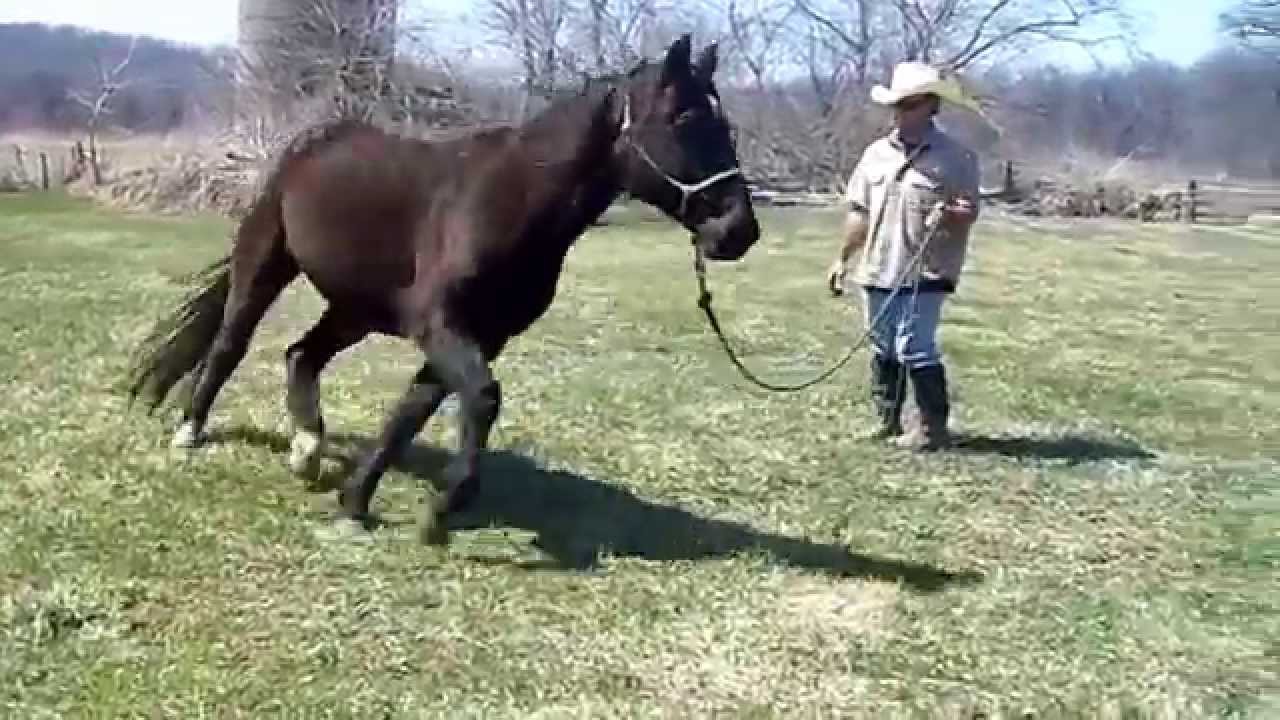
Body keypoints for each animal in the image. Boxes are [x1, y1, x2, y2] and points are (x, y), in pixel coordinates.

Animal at [125, 34, 761, 545]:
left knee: (301, 353)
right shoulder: (442, 325)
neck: (511, 201)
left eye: (726, 125)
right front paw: (442, 509)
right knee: (232, 341)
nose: (738, 232)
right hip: (266, 263)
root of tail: (311, 142)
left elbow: (413, 412)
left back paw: (307, 450)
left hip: (356, 308)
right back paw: (190, 432)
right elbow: (481, 398)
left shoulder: (479, 335)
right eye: (683, 119)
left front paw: (357, 506)